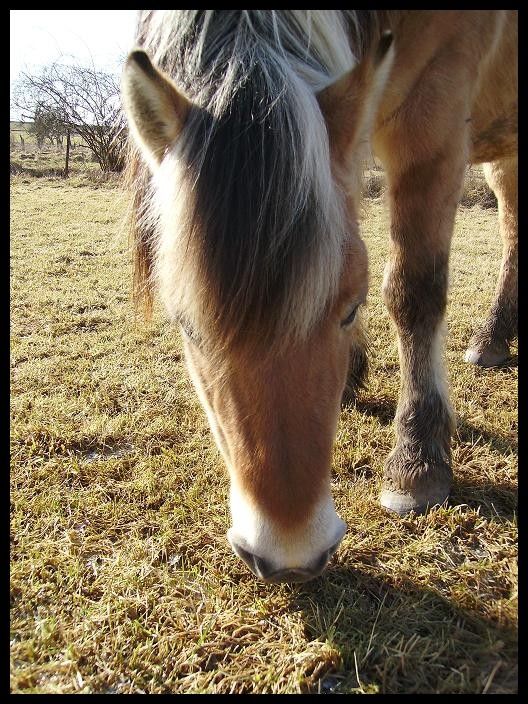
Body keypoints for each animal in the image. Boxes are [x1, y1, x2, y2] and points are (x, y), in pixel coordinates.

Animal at [121, 10, 517, 583]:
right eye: (186, 325)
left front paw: (417, 463)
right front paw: (353, 374)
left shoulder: (434, 115)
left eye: (351, 309)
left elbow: (414, 291)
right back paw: (494, 338)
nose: (290, 555)